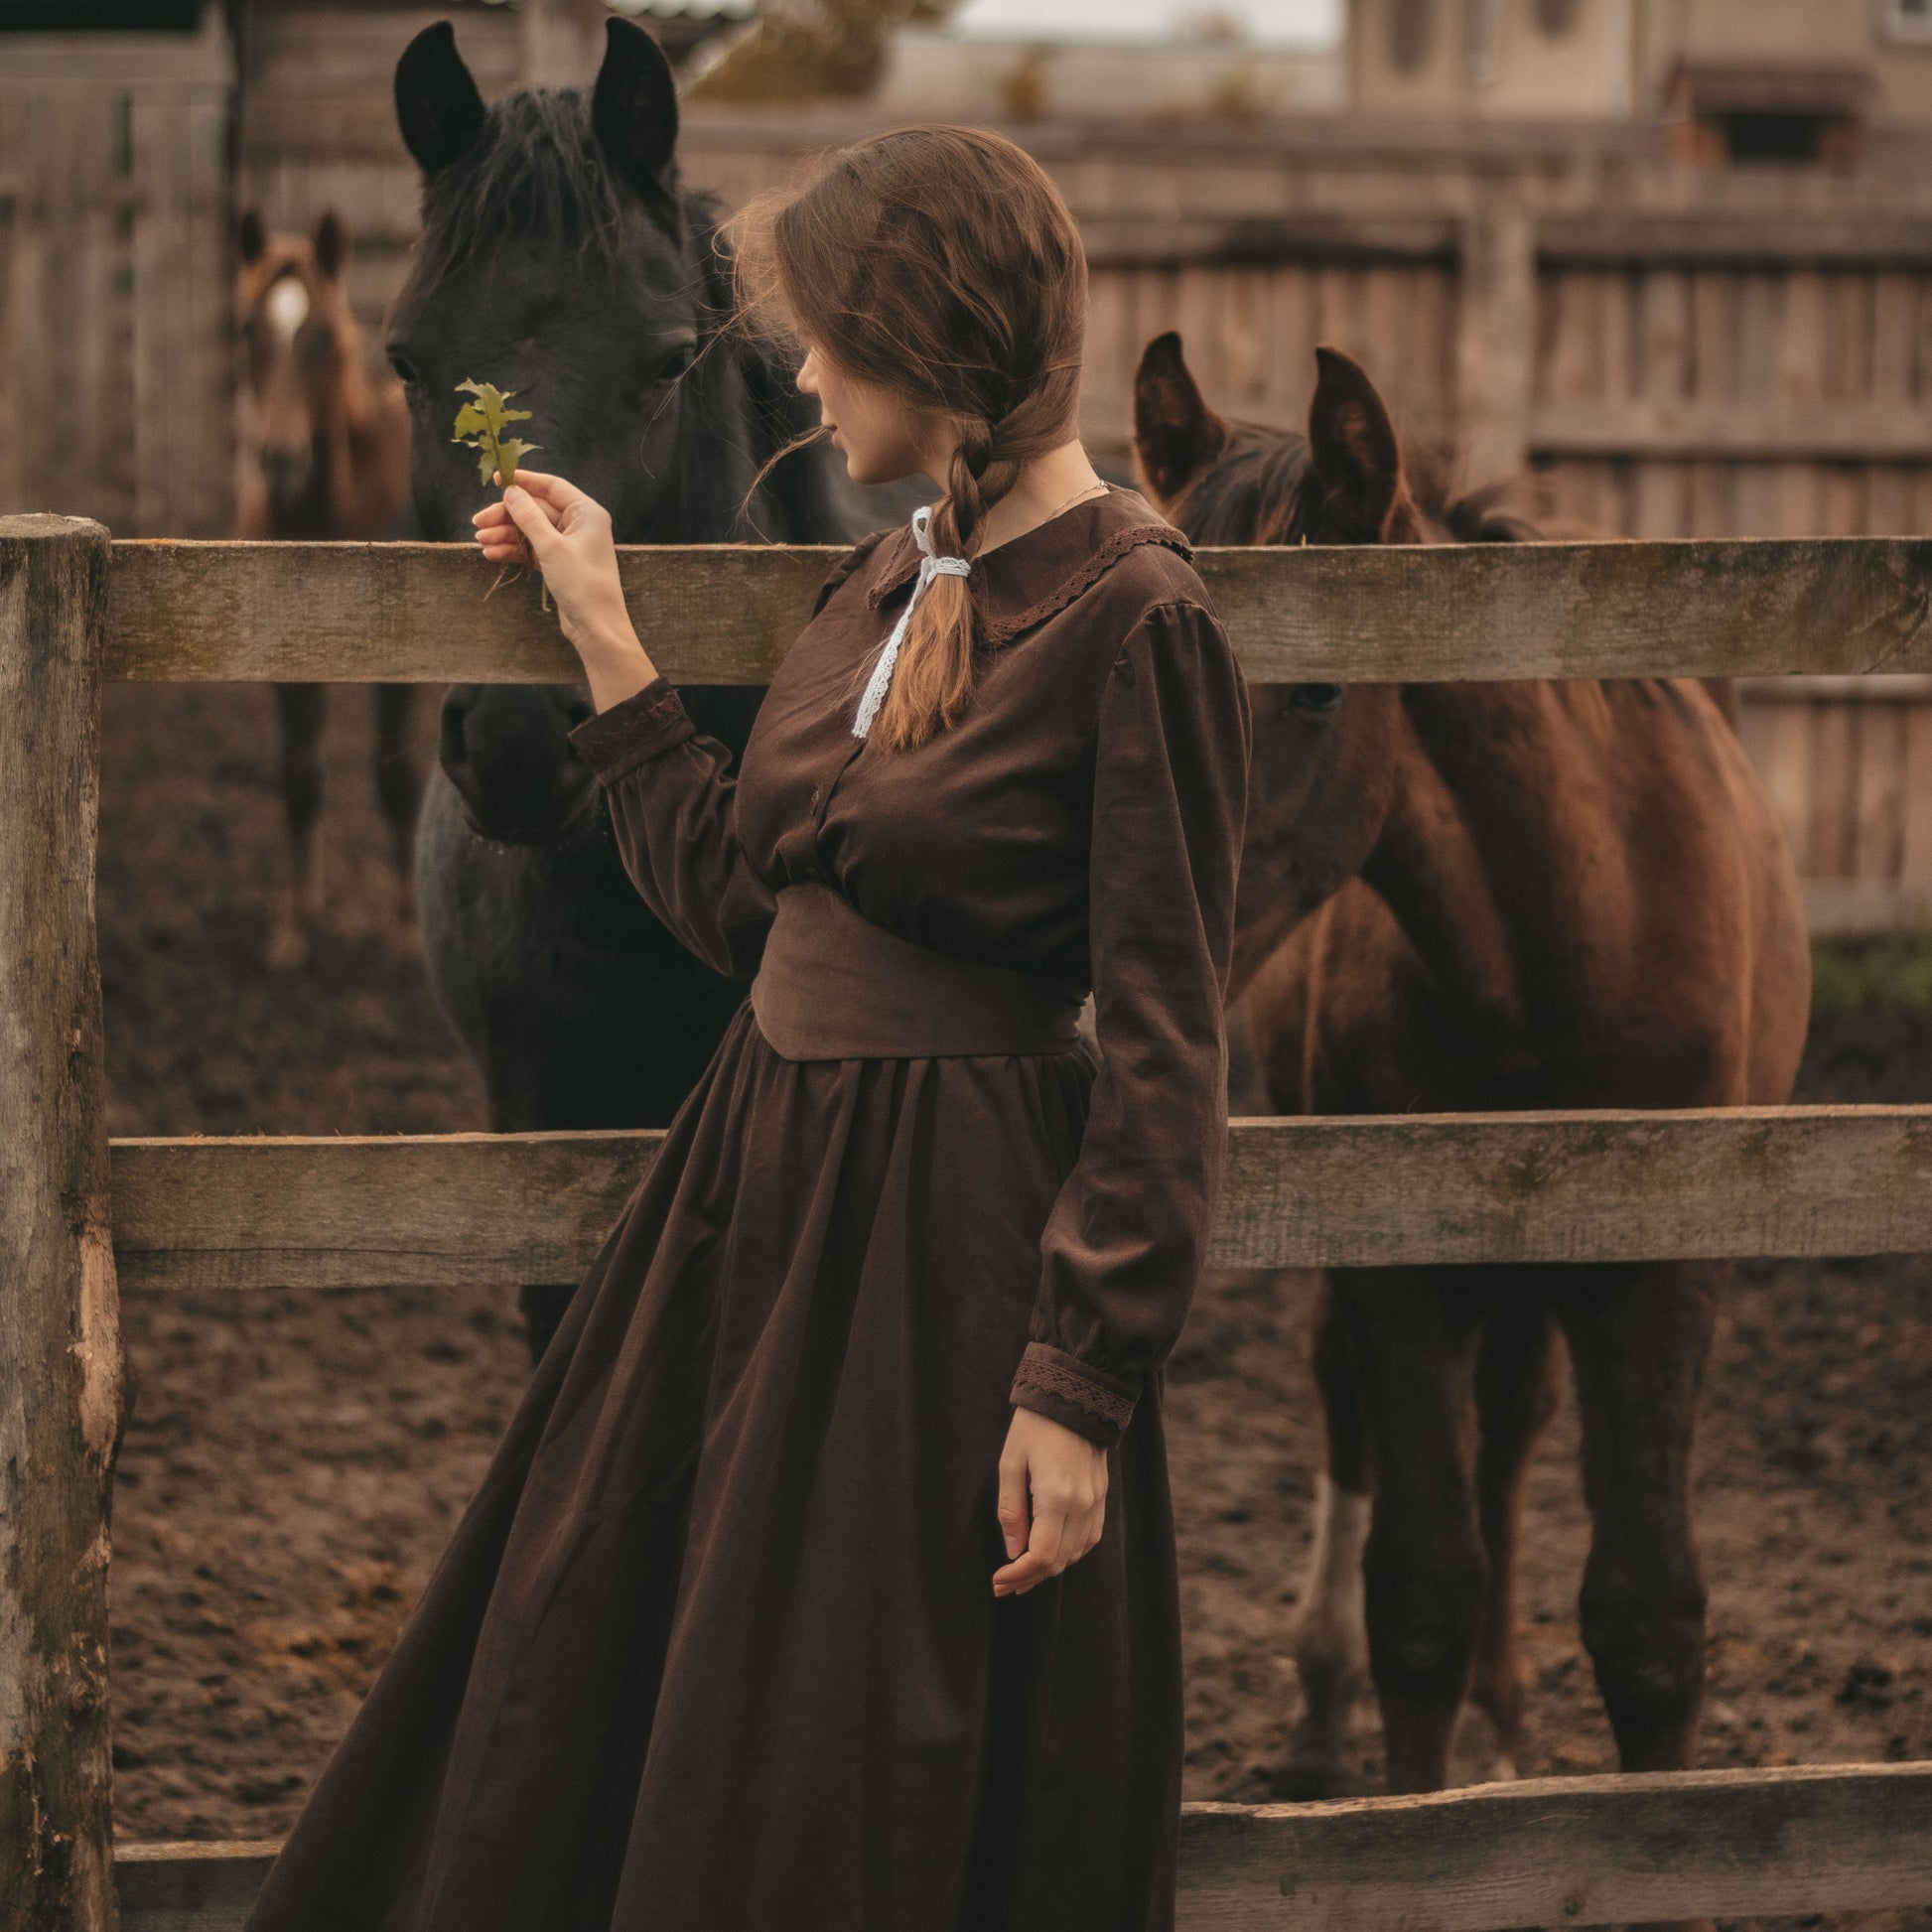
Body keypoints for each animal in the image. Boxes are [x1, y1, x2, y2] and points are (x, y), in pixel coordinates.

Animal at [1128, 340, 1808, 1800]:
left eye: (1318, 688)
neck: (1568, 935)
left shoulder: (1666, 1257)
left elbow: (1646, 1613)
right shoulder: (1398, 1247)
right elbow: (1421, 1592)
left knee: (1513, 1429)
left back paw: (1502, 1717)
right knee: (1355, 1409)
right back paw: (1324, 1705)